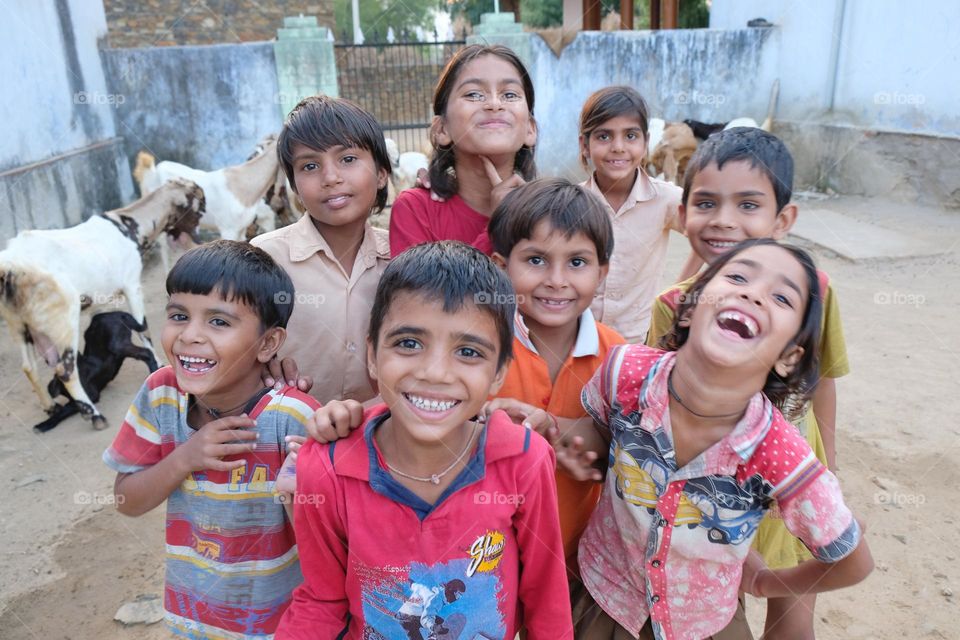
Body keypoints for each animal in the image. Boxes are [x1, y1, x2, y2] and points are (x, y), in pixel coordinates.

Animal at [0, 180, 202, 430]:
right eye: (198, 207)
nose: (197, 238)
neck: (126, 225)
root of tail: (10, 267)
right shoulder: (132, 285)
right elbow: (143, 328)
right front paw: (157, 363)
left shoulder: (100, 302)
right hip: (62, 322)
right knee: (65, 370)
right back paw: (94, 415)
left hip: (18, 325)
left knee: (29, 367)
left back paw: (50, 407)